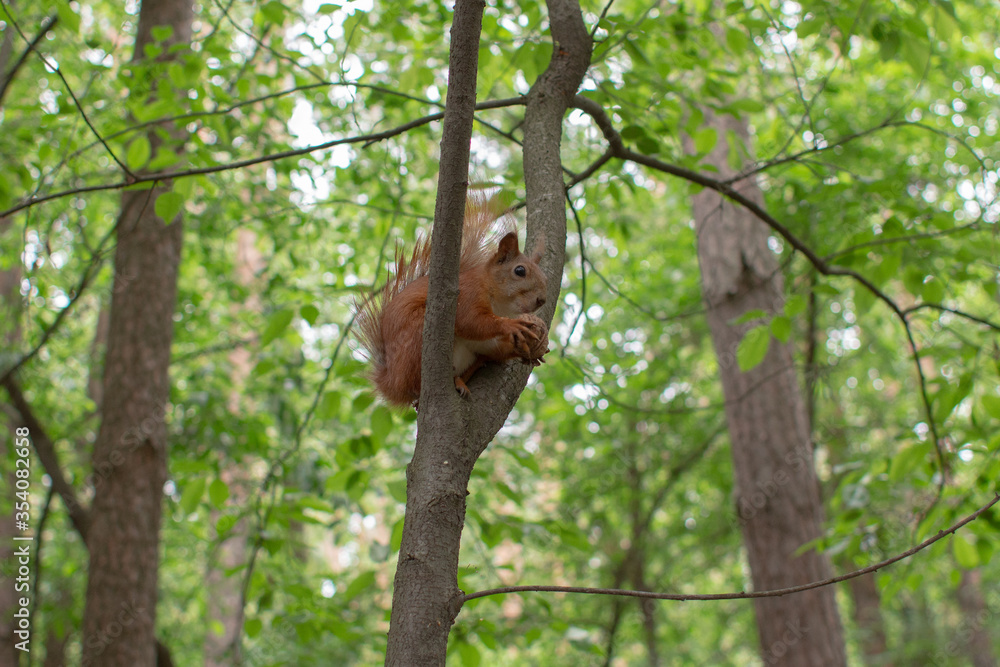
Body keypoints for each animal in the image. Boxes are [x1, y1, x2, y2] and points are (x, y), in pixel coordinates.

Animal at [356, 194, 552, 408]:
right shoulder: (467, 294)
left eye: (545, 276)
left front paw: (528, 349)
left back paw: (459, 381)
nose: (541, 300)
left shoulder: (484, 343)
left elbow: (492, 345)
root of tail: (392, 383)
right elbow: (470, 320)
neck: (500, 304)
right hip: (417, 335)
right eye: (520, 271)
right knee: (416, 384)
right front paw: (511, 325)